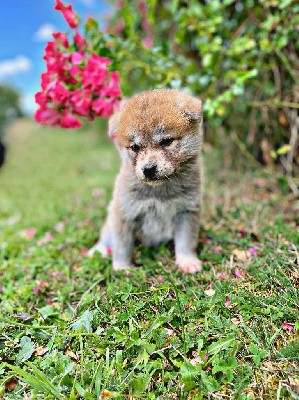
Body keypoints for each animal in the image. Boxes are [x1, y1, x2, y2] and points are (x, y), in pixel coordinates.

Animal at [89, 89, 205, 274]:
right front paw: (122, 267)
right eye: (135, 147)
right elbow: (122, 246)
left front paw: (187, 261)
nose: (149, 169)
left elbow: (185, 242)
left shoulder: (187, 211)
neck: (160, 192)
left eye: (166, 141)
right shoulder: (123, 213)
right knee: (106, 237)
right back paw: (97, 250)